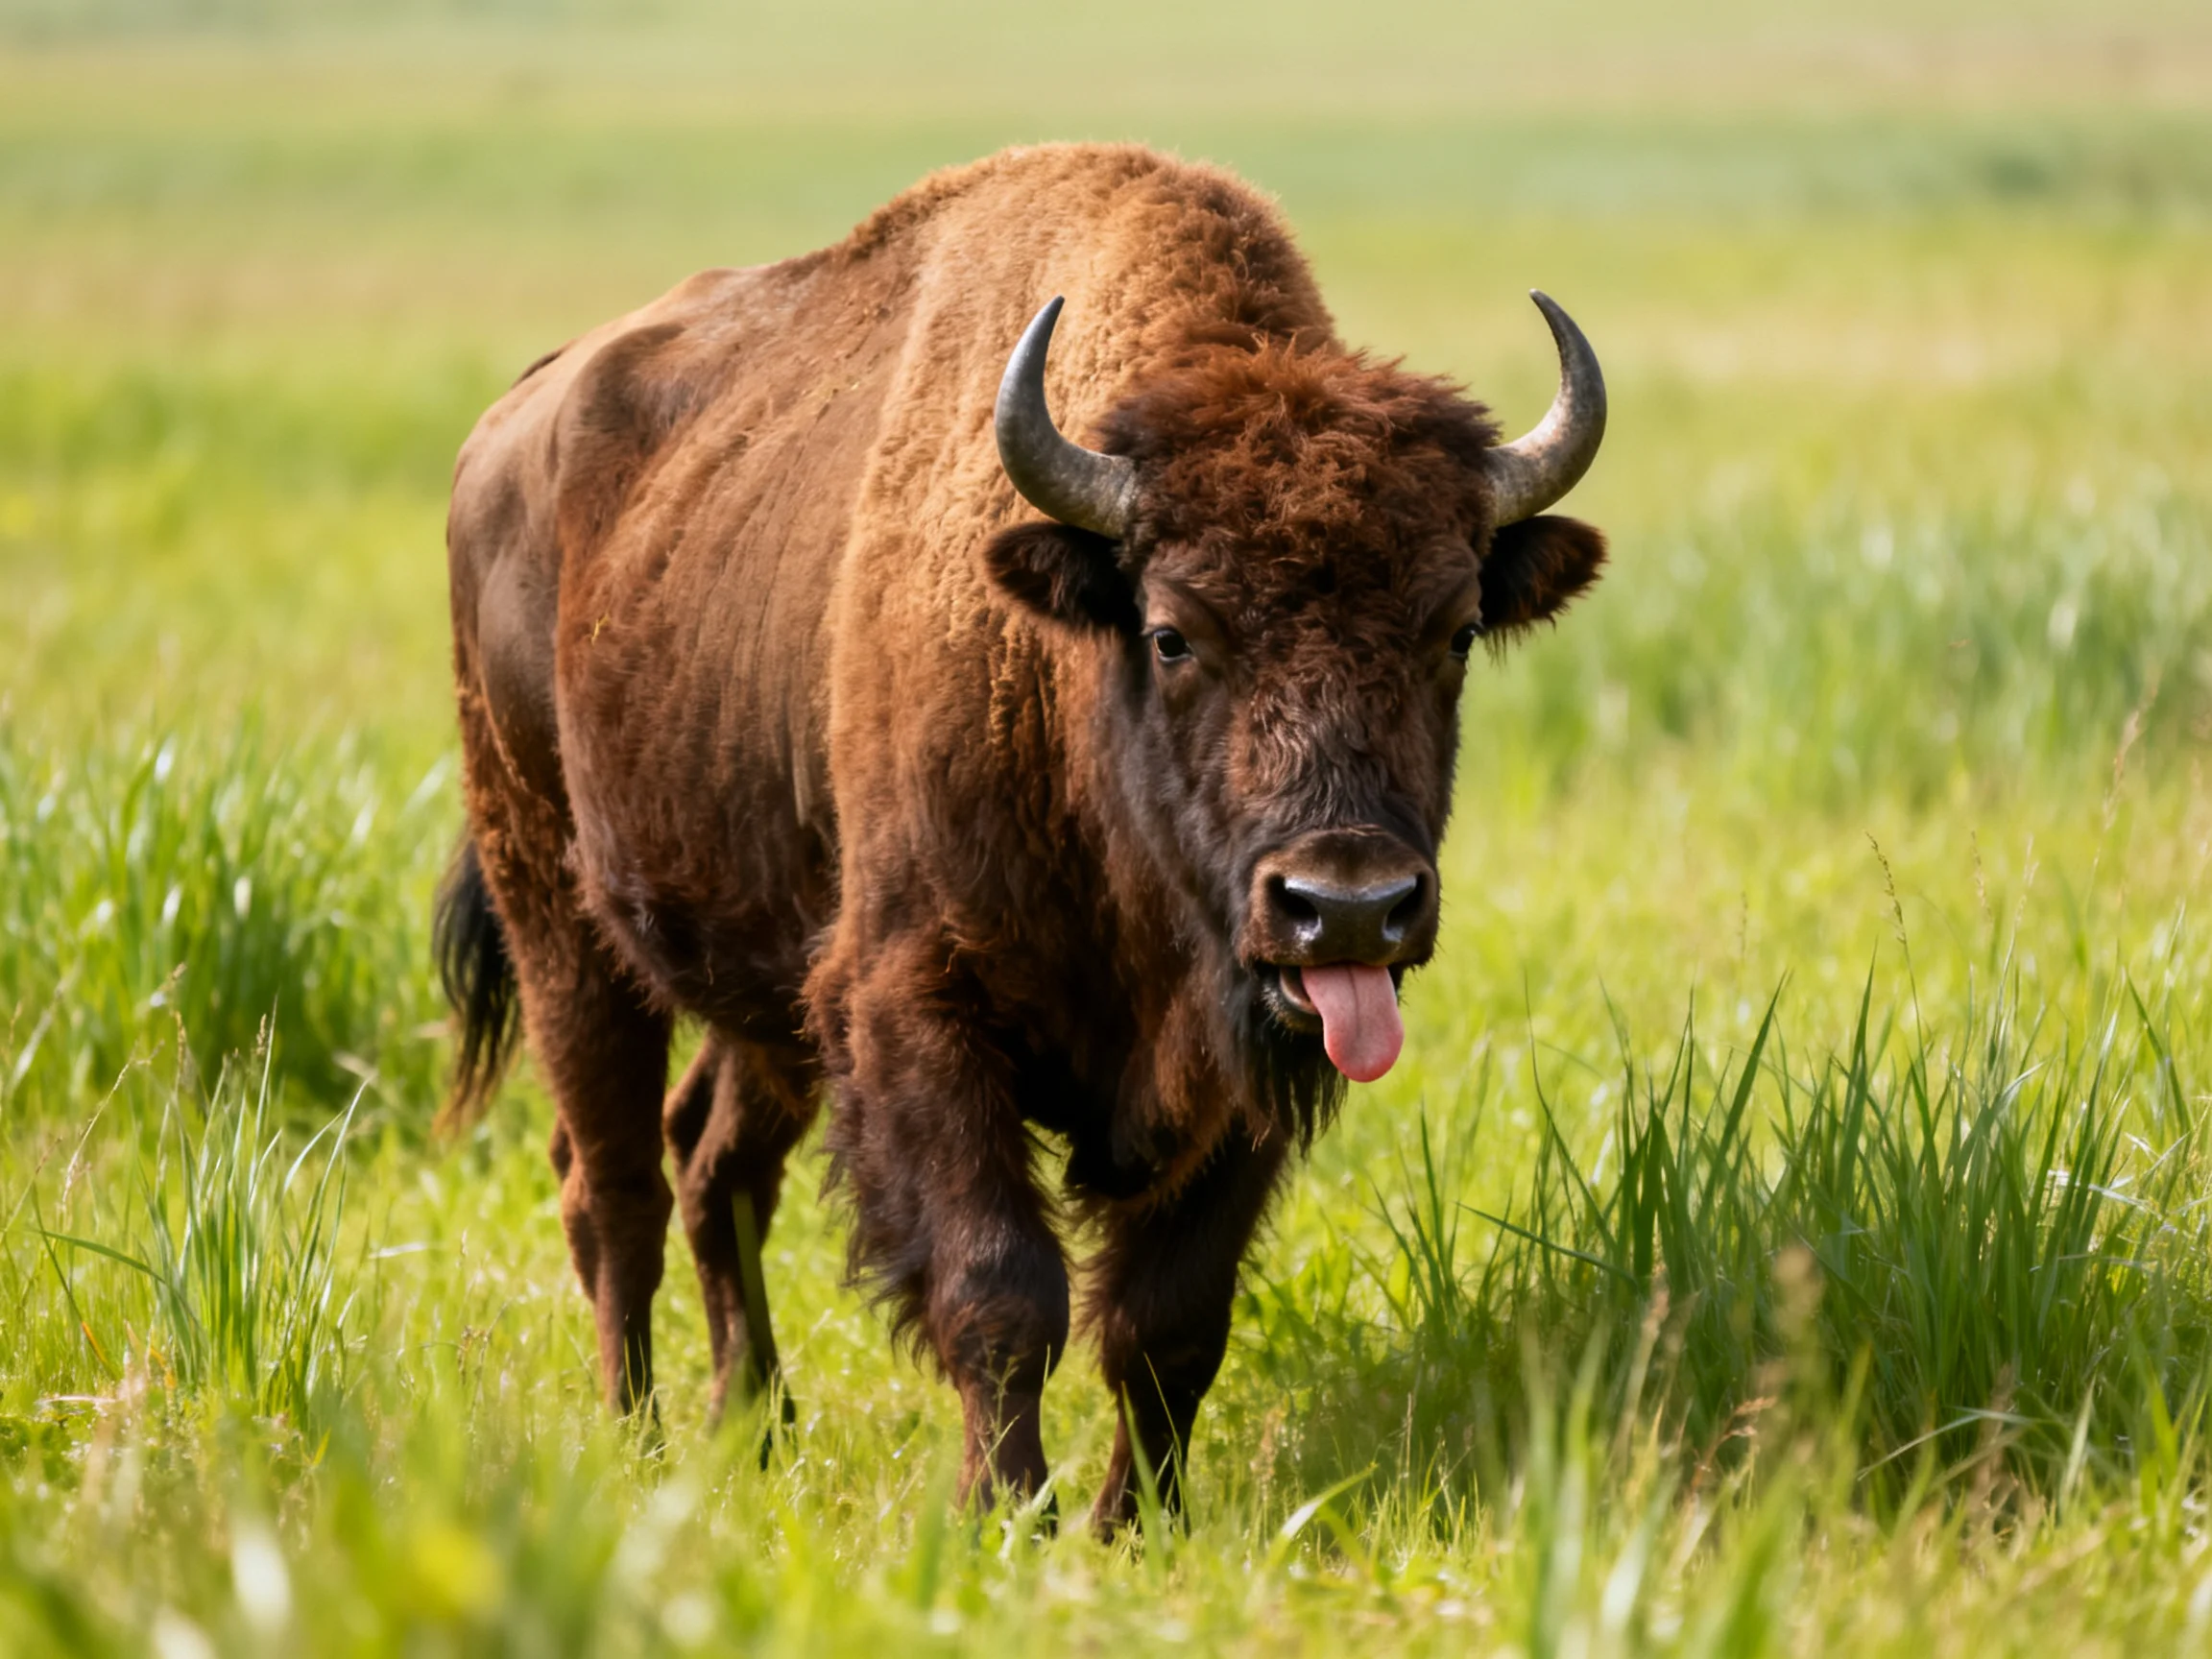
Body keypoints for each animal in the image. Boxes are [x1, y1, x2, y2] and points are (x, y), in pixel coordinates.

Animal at [437, 142, 1607, 1530]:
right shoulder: (914, 1002)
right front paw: (1005, 1515)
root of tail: (515, 421)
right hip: (554, 907)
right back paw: (643, 1442)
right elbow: (1000, 1288)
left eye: (1454, 630)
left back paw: (756, 1427)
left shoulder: (1245, 1063)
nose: (1349, 904)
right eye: (1173, 632)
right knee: (610, 1184)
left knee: (712, 1160)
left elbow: (1167, 1320)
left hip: (765, 976)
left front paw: (1136, 1525)